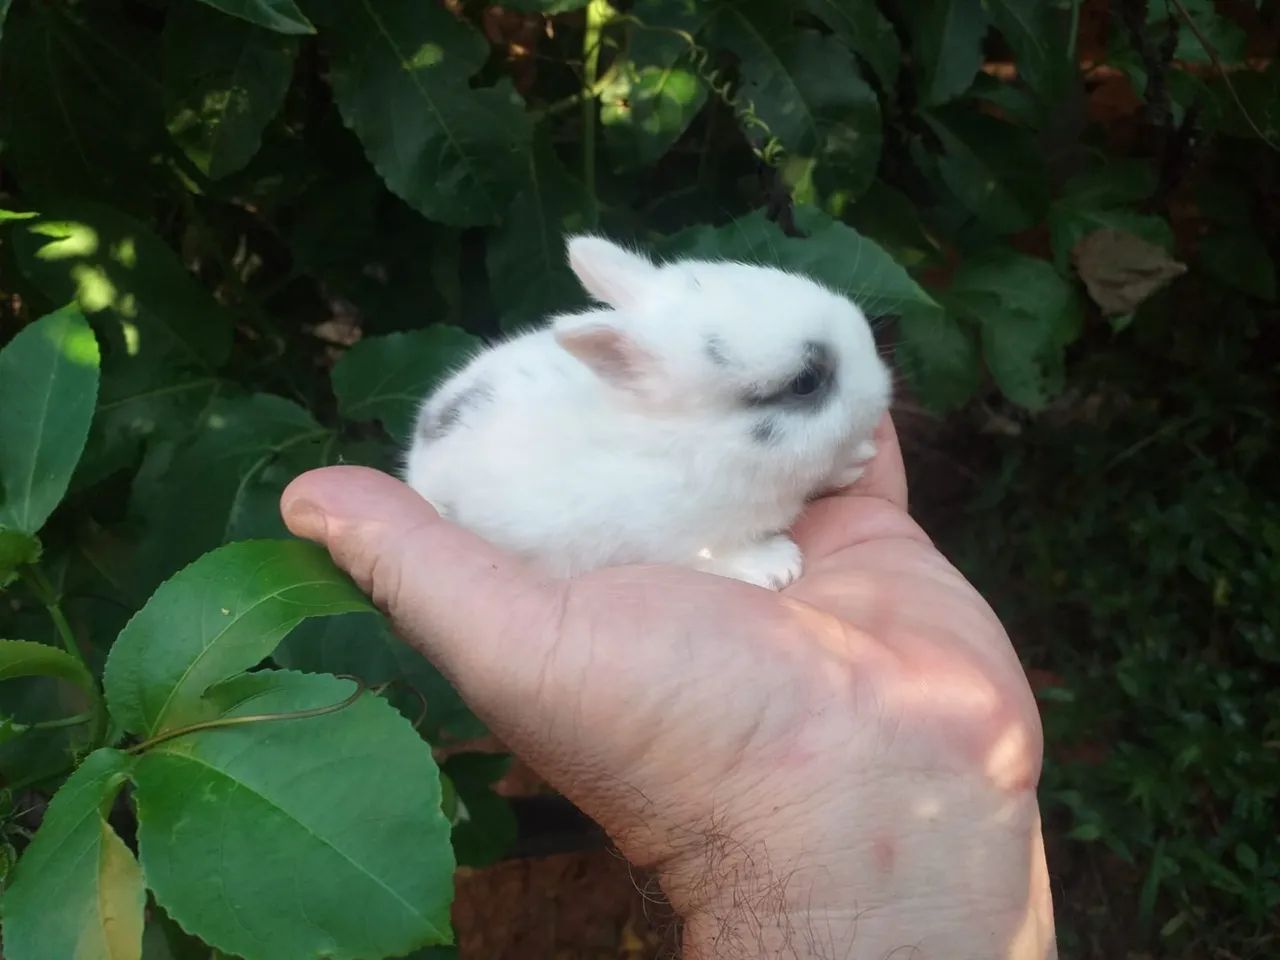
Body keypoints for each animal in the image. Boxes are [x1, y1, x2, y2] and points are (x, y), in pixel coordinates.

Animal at [402, 235, 892, 590]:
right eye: (805, 381)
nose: (882, 388)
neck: (697, 446)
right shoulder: (686, 538)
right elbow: (721, 554)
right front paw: (778, 566)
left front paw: (856, 459)